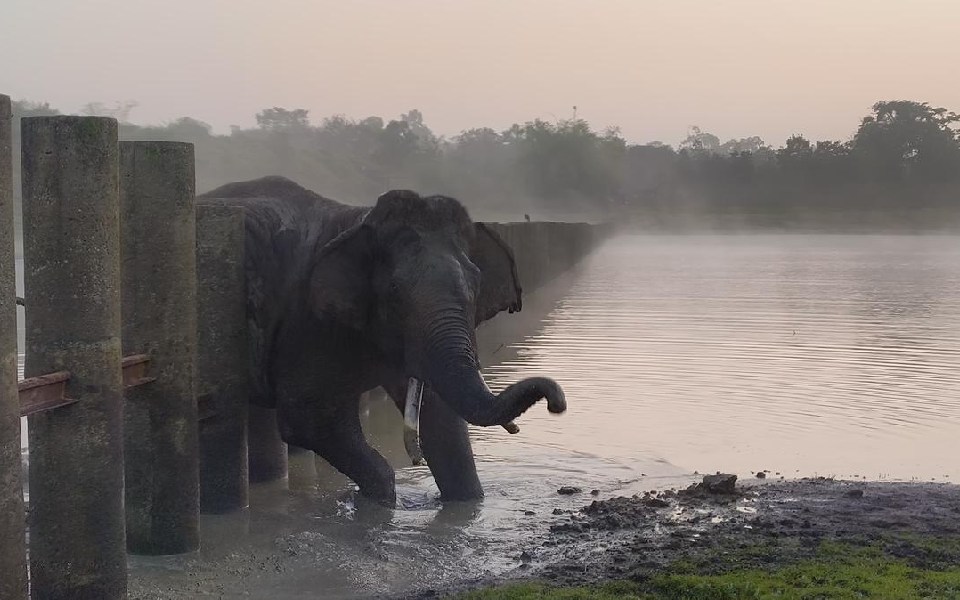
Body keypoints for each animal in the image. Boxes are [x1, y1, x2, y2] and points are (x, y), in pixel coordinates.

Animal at [198, 177, 568, 502]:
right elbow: (309, 419)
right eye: (393, 291)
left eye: (476, 284)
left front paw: (467, 505)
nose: (557, 404)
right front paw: (375, 501)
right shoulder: (307, 323)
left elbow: (441, 419)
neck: (357, 219)